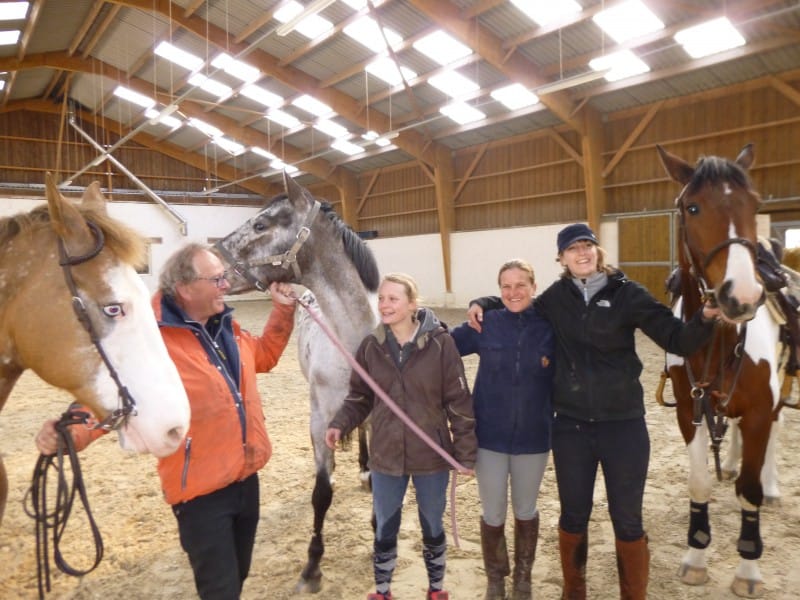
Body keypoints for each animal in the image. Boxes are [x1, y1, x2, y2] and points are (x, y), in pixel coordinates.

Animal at [214, 171, 380, 592]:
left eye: (261, 225)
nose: (216, 270)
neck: (352, 341)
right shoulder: (321, 420)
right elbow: (321, 494)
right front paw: (312, 567)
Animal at [660, 143, 784, 596]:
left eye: (755, 205)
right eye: (692, 207)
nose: (742, 296)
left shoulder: (761, 409)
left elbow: (749, 489)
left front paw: (748, 568)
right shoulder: (689, 409)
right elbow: (701, 482)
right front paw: (696, 556)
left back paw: (771, 486)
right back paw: (730, 462)